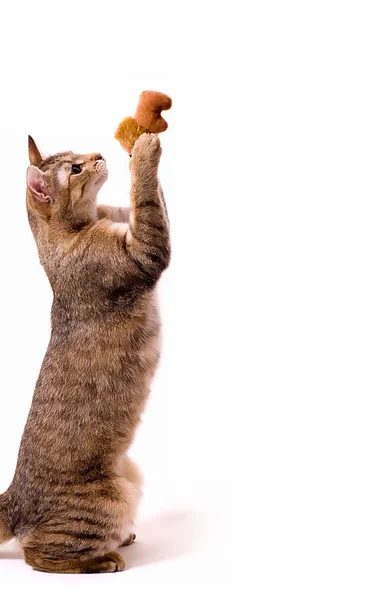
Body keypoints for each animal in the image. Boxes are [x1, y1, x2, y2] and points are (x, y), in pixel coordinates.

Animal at [0, 134, 171, 576]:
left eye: (78, 153)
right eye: (75, 169)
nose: (98, 155)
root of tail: (15, 494)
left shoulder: (127, 219)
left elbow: (150, 200)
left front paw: (136, 146)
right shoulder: (144, 251)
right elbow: (148, 199)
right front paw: (143, 152)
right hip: (111, 499)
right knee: (37, 556)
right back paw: (103, 558)